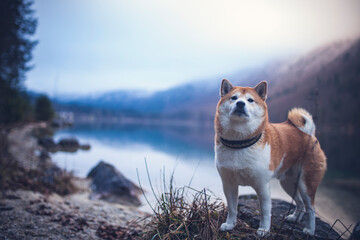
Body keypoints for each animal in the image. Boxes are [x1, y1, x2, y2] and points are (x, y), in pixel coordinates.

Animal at [215, 79, 328, 236]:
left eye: (250, 100)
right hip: (288, 183)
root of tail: (308, 134)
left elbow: (265, 212)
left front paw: (263, 229)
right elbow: (232, 208)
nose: (240, 104)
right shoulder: (229, 184)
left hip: (306, 183)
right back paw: (294, 218)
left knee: (311, 208)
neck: (240, 143)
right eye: (234, 98)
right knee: (300, 203)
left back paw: (310, 230)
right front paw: (230, 224)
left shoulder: (262, 185)